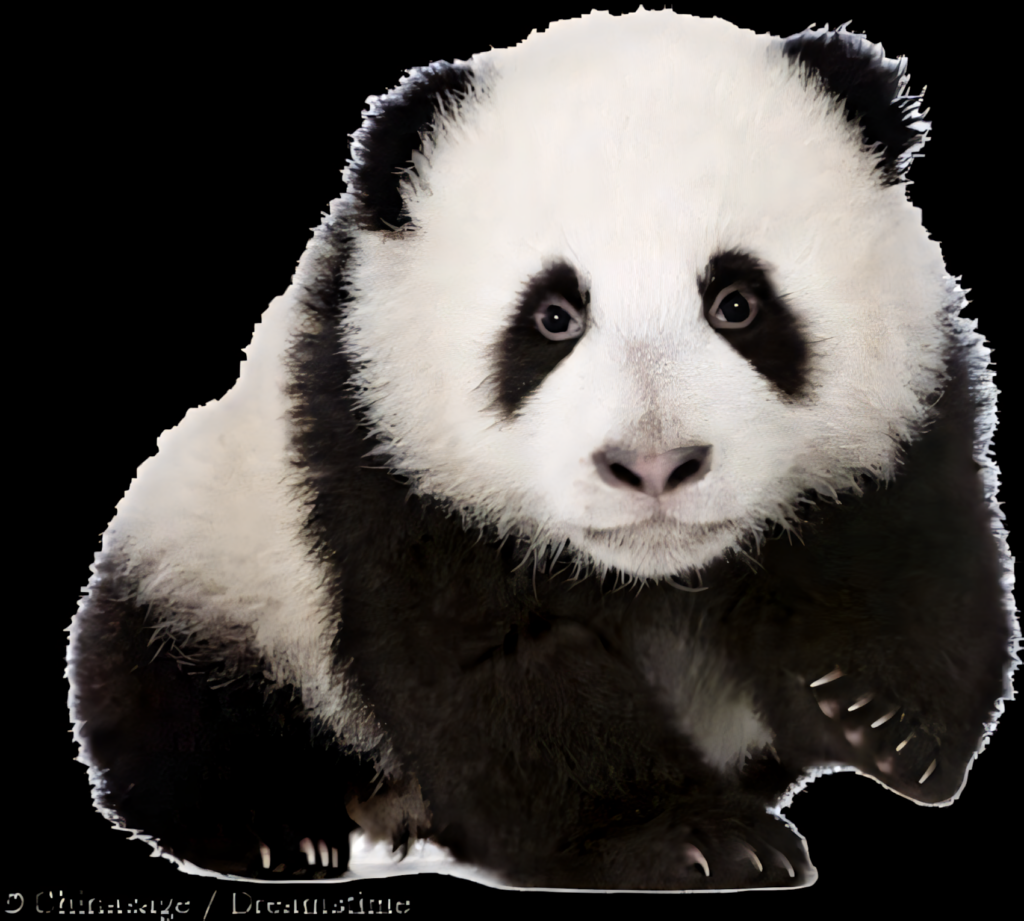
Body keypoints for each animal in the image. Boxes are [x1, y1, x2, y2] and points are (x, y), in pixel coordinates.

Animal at [66, 9, 1016, 892]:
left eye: (739, 303)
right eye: (553, 316)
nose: (653, 466)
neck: (655, 573)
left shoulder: (904, 405)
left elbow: (910, 551)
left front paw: (874, 718)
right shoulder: (381, 445)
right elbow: (495, 668)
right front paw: (694, 837)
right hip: (219, 558)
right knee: (175, 693)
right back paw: (275, 831)